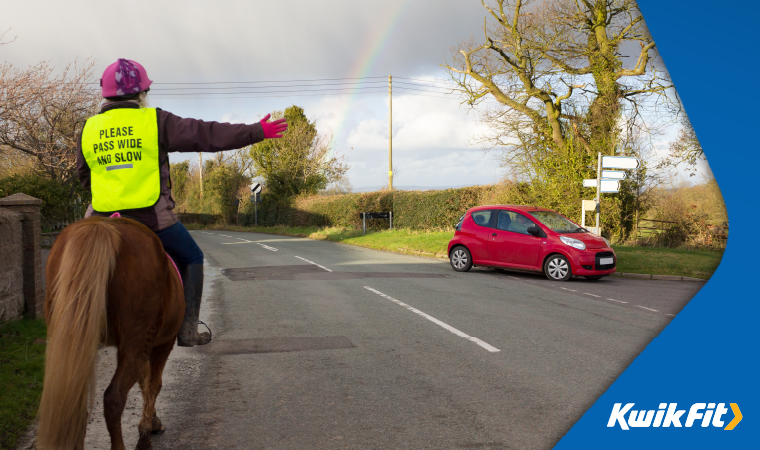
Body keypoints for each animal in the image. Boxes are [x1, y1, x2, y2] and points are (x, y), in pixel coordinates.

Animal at [36, 216, 188, 448]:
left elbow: (146, 382)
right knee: (114, 397)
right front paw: (148, 429)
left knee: (76, 405)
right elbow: (153, 383)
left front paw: (150, 423)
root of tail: (101, 226)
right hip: (136, 343)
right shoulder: (164, 343)